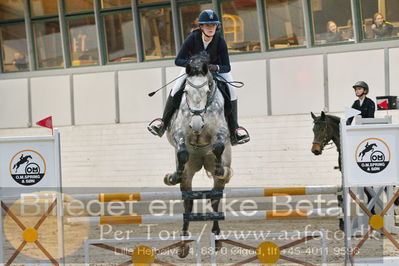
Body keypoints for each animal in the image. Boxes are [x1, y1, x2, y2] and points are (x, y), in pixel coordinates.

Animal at [164, 54, 233, 258]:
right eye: (186, 91)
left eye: (207, 90)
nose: (195, 125)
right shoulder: (179, 132)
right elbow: (182, 151)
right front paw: (173, 176)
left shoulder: (221, 131)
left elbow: (218, 145)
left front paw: (220, 169)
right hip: (190, 171)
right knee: (188, 202)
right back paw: (183, 244)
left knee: (215, 199)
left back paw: (216, 239)